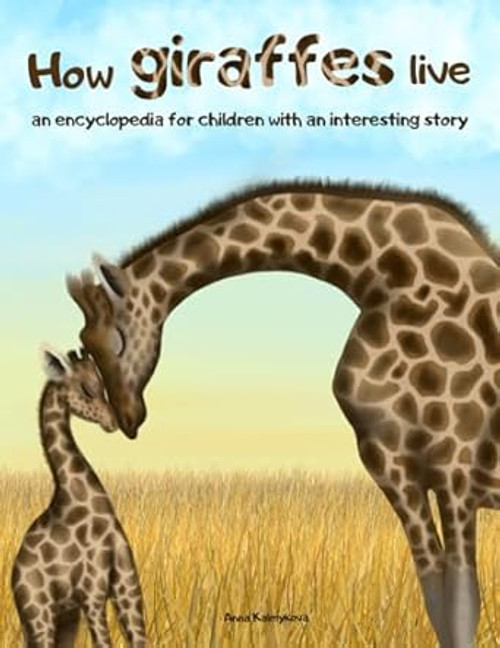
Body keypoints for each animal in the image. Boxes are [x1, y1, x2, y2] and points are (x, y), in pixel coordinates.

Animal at [11, 347, 147, 648]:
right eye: (86, 389)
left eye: (103, 386)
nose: (113, 423)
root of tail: (14, 578)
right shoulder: (91, 591)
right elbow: (104, 642)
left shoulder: (127, 583)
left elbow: (140, 638)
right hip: (39, 613)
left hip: (66, 617)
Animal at [67, 180, 500, 647]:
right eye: (84, 343)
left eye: (118, 338)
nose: (127, 417)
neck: (385, 280)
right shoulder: (394, 469)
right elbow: (437, 600)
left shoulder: (455, 471)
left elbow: (462, 602)